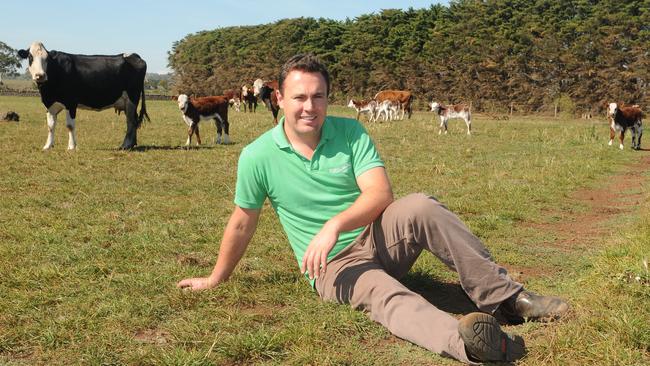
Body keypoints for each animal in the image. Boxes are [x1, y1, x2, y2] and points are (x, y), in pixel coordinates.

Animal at [18, 42, 151, 151]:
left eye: (46, 59)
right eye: (30, 57)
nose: (40, 75)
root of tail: (134, 56)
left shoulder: (71, 103)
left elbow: (70, 125)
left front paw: (71, 147)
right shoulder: (50, 104)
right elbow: (50, 126)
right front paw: (47, 146)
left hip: (132, 97)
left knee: (131, 121)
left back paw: (125, 146)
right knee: (134, 120)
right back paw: (132, 144)